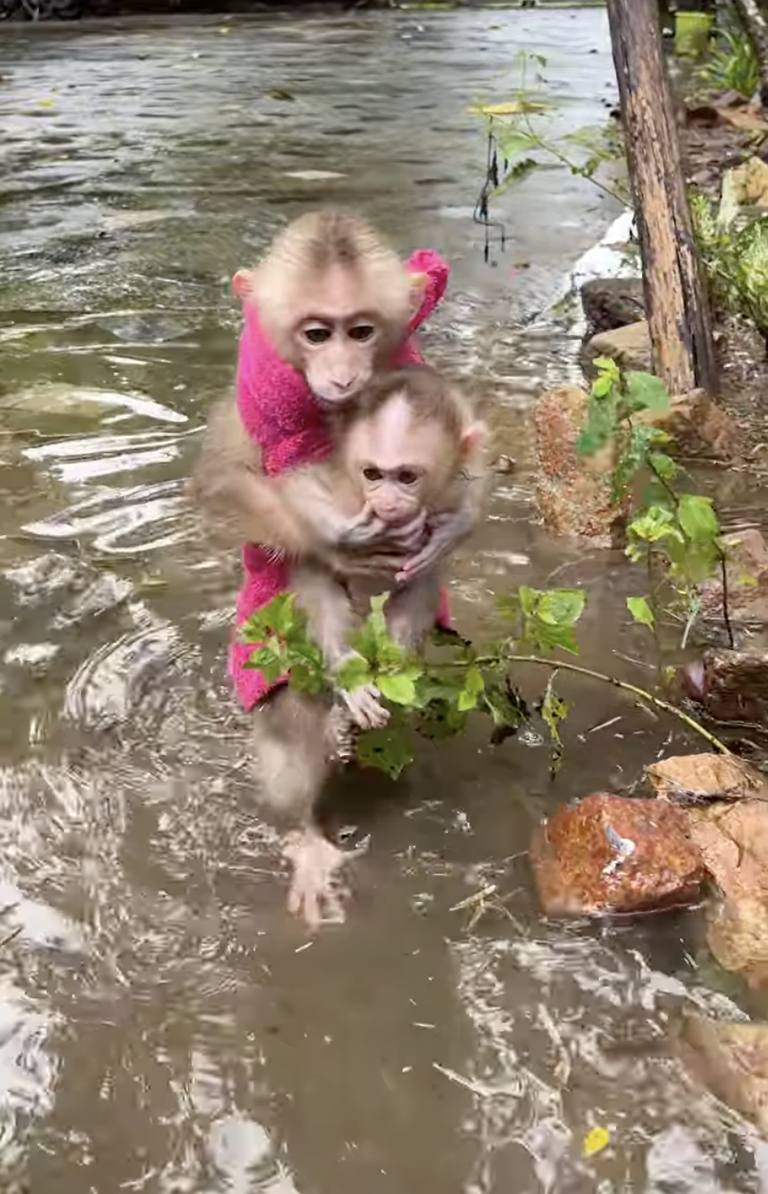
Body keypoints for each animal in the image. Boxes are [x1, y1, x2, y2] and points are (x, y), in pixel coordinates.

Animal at [244, 367, 489, 928]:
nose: (388, 503)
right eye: (373, 474)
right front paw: (350, 679)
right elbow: (311, 563)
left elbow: (425, 570)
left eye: (408, 477)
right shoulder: (329, 499)